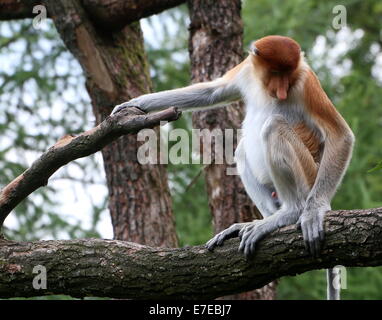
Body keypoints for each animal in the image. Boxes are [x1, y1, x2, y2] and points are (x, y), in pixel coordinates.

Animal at [111, 35, 356, 300]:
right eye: (275, 73)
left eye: (288, 77)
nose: (281, 92)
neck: (265, 87)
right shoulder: (247, 69)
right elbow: (212, 91)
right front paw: (133, 104)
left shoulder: (305, 82)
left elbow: (340, 135)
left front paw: (314, 211)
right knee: (241, 150)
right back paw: (256, 222)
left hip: (309, 174)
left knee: (273, 127)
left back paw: (292, 212)